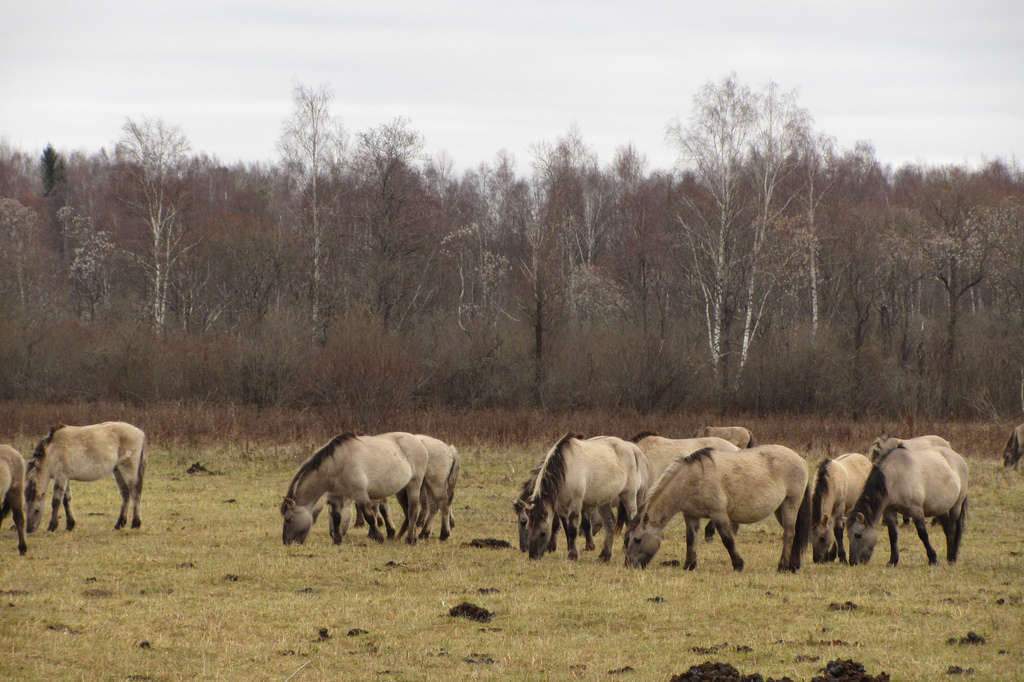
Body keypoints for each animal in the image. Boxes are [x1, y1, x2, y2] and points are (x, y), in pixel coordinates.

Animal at [520, 432, 647, 561]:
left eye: (543, 533)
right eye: (528, 528)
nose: (533, 556)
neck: (566, 468)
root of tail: (632, 448)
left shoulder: (576, 502)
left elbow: (572, 529)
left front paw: (572, 555)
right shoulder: (560, 506)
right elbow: (566, 528)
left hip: (629, 496)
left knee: (632, 521)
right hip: (604, 501)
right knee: (610, 523)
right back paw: (605, 555)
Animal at [618, 444, 811, 569]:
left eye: (637, 539)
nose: (628, 565)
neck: (691, 479)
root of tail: (800, 459)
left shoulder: (719, 515)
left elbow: (727, 540)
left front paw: (738, 564)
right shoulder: (691, 516)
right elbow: (691, 539)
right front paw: (689, 565)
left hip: (790, 504)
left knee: (789, 533)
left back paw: (783, 566)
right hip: (779, 509)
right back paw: (793, 565)